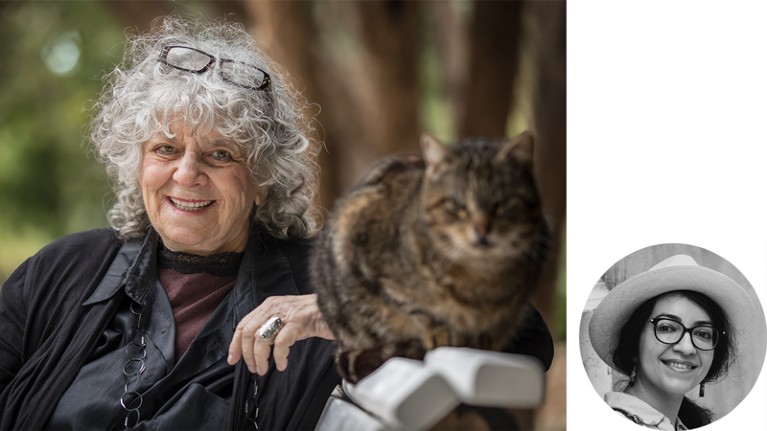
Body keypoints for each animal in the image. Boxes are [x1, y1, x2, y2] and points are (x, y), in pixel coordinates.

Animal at [314, 132, 552, 384]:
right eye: (457, 205)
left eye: (502, 203)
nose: (481, 230)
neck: (481, 275)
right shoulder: (359, 250)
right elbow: (417, 308)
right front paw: (442, 333)